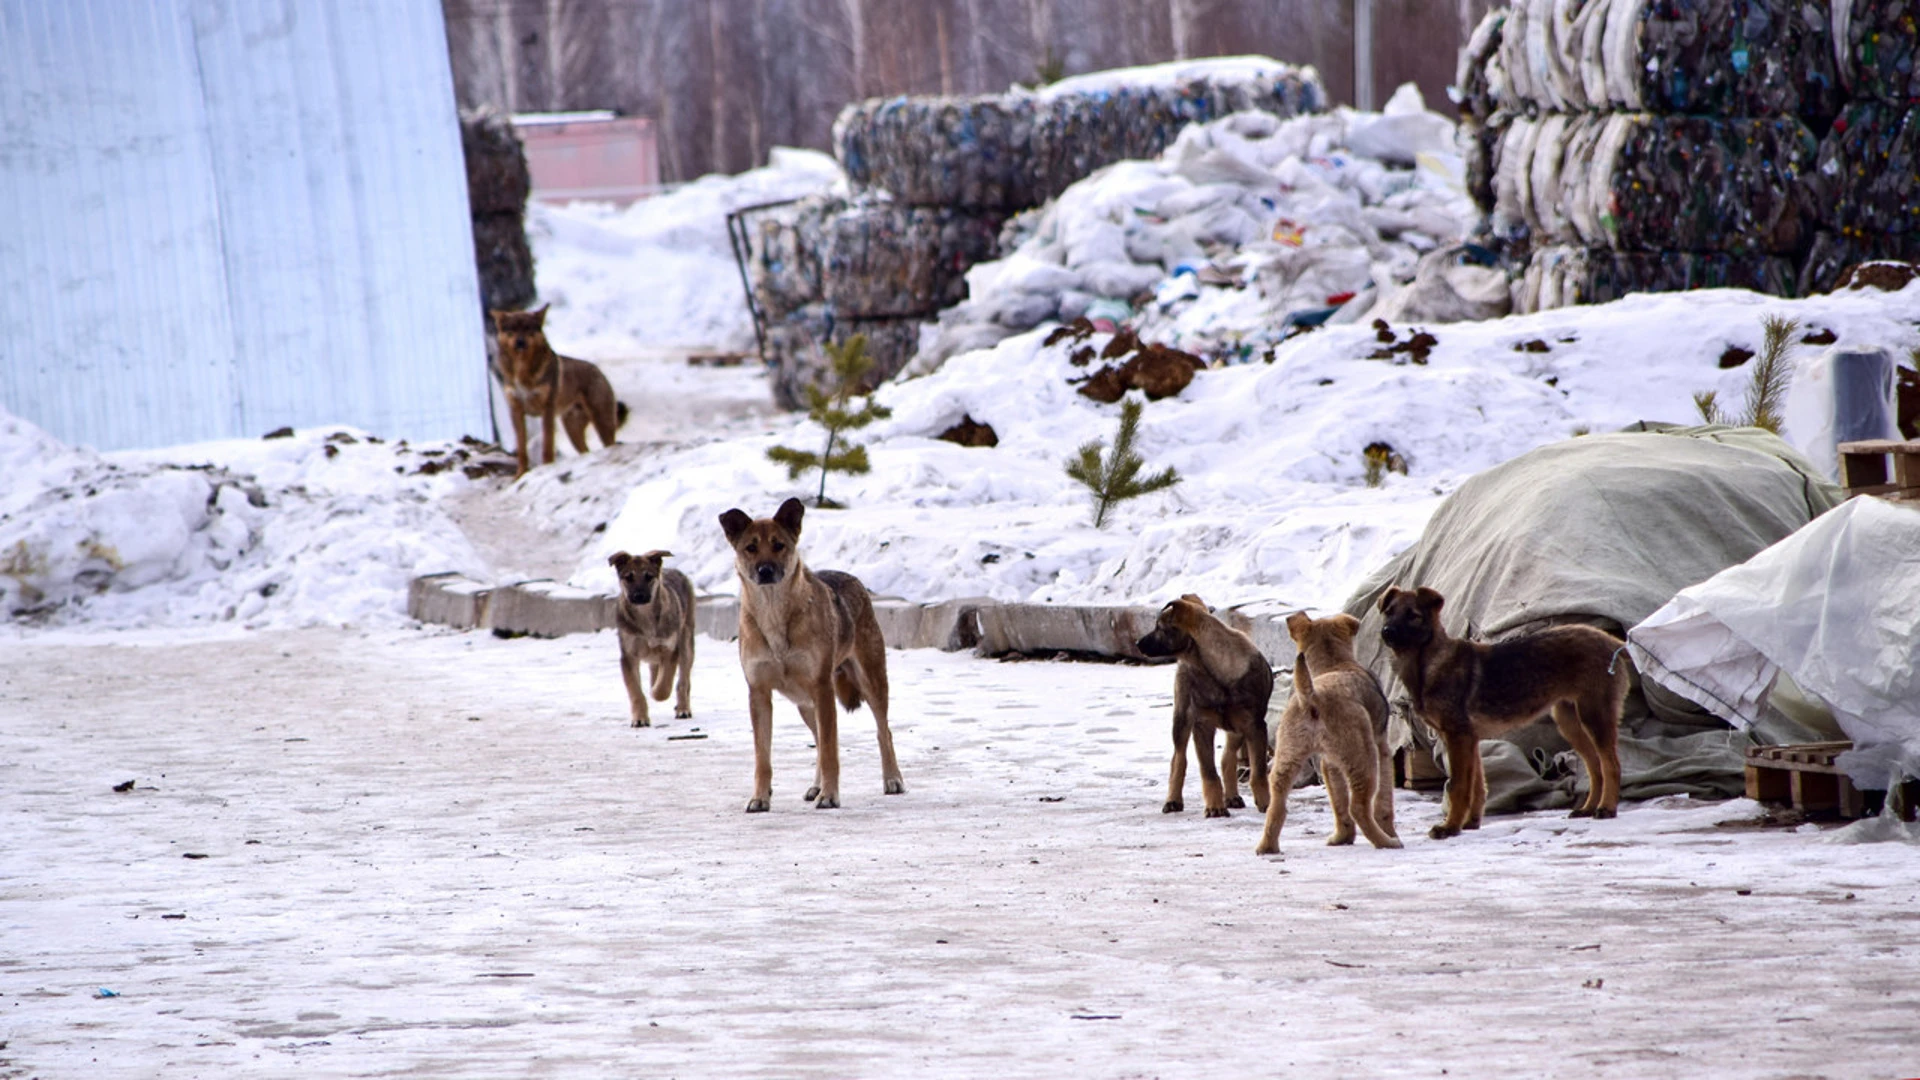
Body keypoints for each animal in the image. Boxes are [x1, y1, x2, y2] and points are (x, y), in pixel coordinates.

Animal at [487, 299, 622, 472]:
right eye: (512, 329)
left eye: (528, 328)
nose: (520, 342)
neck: (522, 369)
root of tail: (598, 370)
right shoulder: (516, 411)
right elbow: (522, 449)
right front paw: (520, 474)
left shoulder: (547, 411)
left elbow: (547, 445)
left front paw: (546, 467)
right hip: (573, 430)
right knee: (585, 450)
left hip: (601, 422)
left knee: (609, 444)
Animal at [606, 549, 698, 726]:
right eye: (628, 577)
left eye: (649, 576)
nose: (639, 596)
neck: (645, 616)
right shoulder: (628, 656)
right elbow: (635, 691)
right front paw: (640, 719)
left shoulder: (670, 649)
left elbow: (664, 685)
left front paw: (656, 693)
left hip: (686, 644)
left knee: (683, 682)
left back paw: (683, 709)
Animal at [718, 495, 902, 807]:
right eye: (750, 548)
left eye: (779, 545)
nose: (765, 571)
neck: (774, 614)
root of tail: (856, 581)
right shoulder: (759, 693)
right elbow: (762, 757)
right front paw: (760, 798)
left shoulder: (822, 687)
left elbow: (830, 750)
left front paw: (830, 796)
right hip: (805, 703)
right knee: (820, 739)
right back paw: (815, 786)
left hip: (869, 683)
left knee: (882, 732)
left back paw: (892, 779)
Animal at [1136, 595, 1274, 814]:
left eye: (1159, 627)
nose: (1137, 643)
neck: (1216, 670)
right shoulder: (1202, 725)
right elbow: (1208, 772)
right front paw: (1215, 807)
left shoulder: (1254, 725)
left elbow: (1258, 771)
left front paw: (1266, 803)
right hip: (1182, 718)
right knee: (1178, 759)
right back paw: (1173, 800)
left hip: (1236, 727)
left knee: (1227, 757)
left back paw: (1232, 796)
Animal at [1374, 584, 1628, 837]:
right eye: (1389, 611)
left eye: (1413, 615)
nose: (1387, 632)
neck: (1427, 662)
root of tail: (1614, 643)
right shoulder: (1468, 738)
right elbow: (1477, 785)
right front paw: (1470, 823)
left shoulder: (1457, 736)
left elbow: (1459, 786)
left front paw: (1449, 827)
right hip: (1569, 721)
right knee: (1594, 766)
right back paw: (1588, 808)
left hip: (1594, 715)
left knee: (1611, 764)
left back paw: (1606, 808)